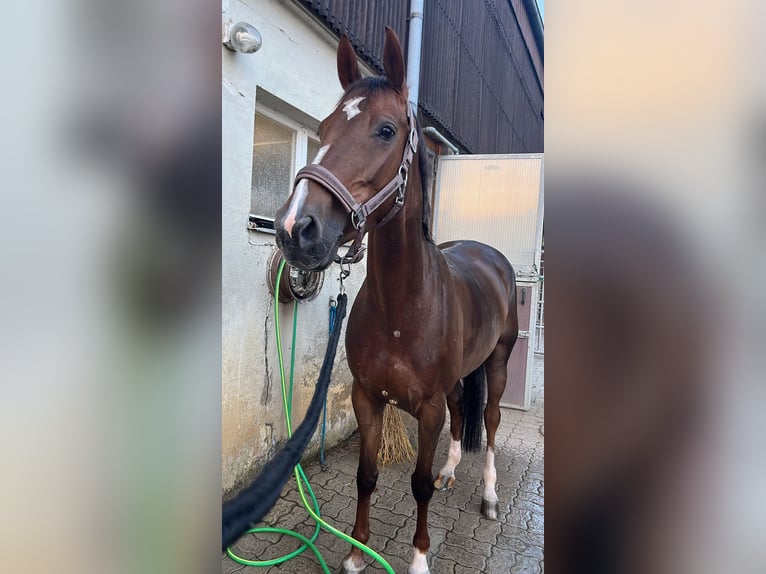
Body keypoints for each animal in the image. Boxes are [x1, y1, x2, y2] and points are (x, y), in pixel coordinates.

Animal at [274, 27, 518, 574]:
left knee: (491, 422)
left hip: (498, 361)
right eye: (322, 127)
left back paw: (490, 497)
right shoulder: (367, 397)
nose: (295, 228)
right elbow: (366, 474)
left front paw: (420, 558)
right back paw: (452, 470)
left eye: (386, 130)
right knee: (461, 412)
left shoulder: (425, 410)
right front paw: (354, 553)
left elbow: (418, 485)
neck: (402, 307)